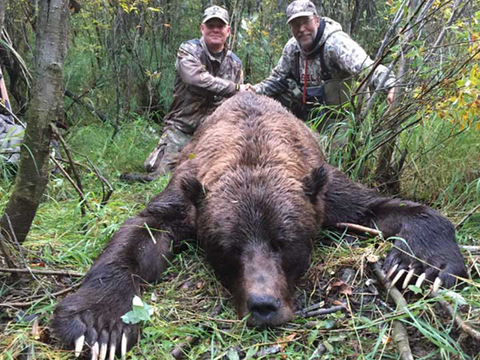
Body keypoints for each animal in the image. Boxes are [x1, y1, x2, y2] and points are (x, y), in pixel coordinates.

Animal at [51, 92, 464, 358]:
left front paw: (421, 265)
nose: (263, 305)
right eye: (228, 249)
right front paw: (99, 325)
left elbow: (386, 208)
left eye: (286, 243)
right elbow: (140, 234)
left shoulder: (323, 190)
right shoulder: (187, 196)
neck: (253, 152)